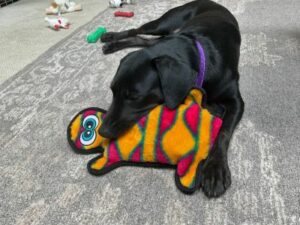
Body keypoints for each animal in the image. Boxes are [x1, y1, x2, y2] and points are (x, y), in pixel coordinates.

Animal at [98, 0, 244, 197]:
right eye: (112, 91)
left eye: (135, 97)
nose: (102, 131)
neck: (201, 54)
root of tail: (210, 2)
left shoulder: (236, 101)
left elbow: (224, 131)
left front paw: (215, 169)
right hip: (163, 23)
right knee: (138, 30)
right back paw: (110, 38)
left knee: (144, 40)